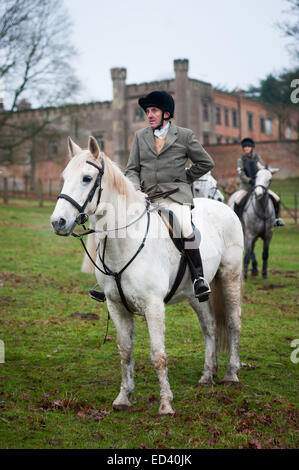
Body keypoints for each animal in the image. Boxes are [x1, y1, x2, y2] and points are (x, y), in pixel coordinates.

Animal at [50, 136, 245, 414]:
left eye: (87, 178)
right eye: (65, 177)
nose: (58, 222)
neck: (124, 242)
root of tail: (224, 206)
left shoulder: (154, 307)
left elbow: (158, 354)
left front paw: (165, 404)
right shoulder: (116, 306)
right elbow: (125, 352)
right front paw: (123, 398)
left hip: (230, 276)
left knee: (233, 321)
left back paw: (231, 374)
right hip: (195, 293)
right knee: (209, 326)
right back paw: (207, 376)